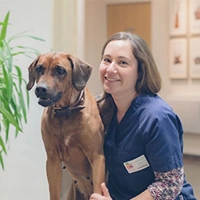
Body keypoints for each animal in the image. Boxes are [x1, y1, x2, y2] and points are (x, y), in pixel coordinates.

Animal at [26, 52, 105, 200]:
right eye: (39, 68)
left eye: (60, 70)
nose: (40, 89)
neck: (66, 112)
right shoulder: (52, 160)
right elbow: (54, 191)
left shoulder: (97, 156)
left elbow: (98, 188)